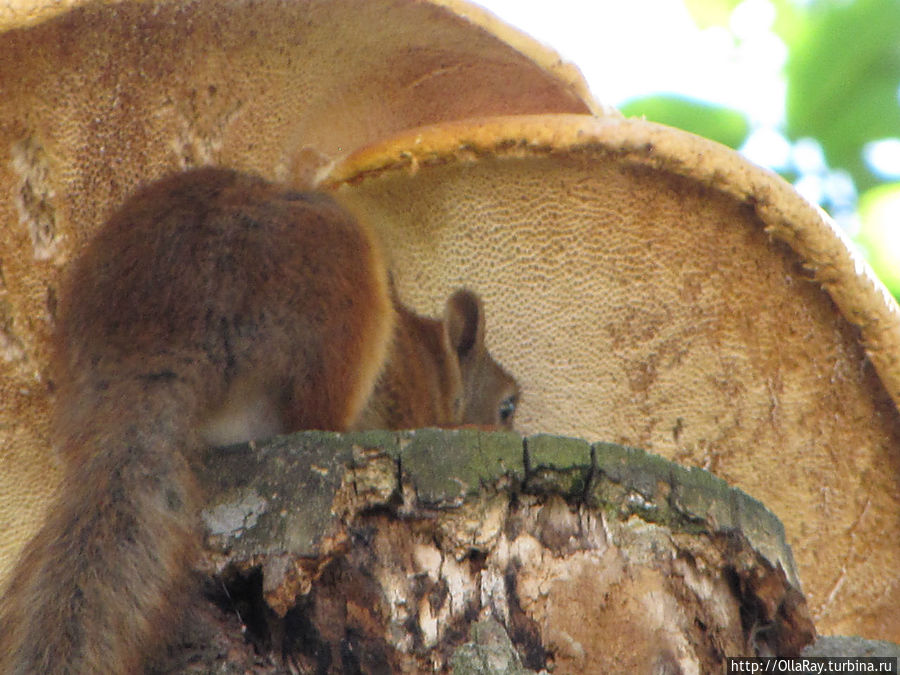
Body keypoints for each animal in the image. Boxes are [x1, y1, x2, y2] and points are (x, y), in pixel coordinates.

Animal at [0, 166, 520, 672]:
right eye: (508, 406)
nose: (508, 420)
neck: (429, 367)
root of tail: (152, 356)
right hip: (335, 289)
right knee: (318, 420)